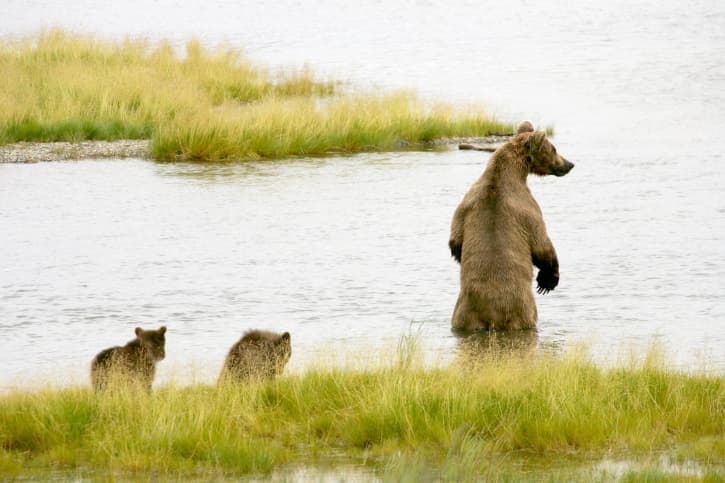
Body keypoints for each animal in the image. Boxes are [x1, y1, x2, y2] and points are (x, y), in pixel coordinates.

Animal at [449, 121, 573, 331]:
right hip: (523, 309)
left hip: (462, 315)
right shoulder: (526, 207)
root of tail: (490, 315)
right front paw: (548, 280)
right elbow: (541, 243)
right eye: (554, 148)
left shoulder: (466, 204)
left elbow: (455, 240)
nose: (569, 164)